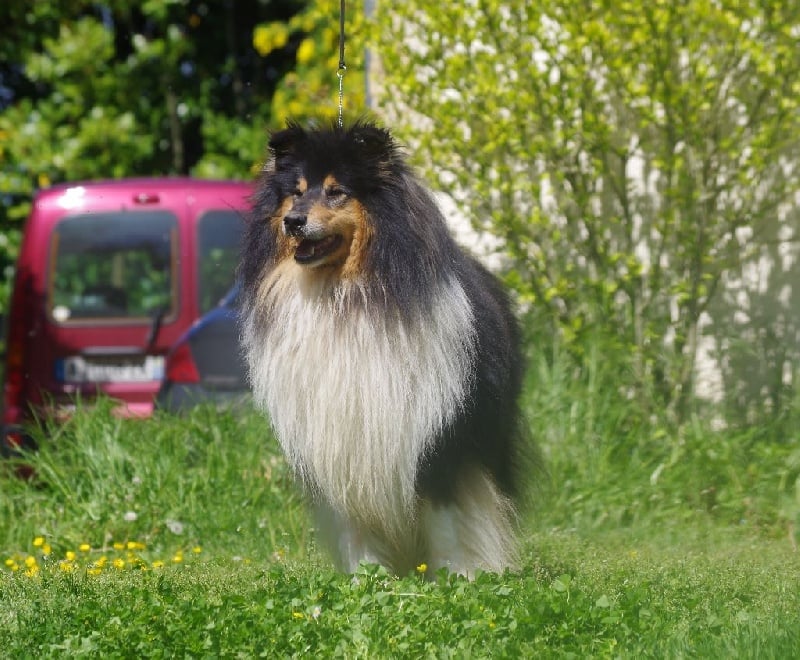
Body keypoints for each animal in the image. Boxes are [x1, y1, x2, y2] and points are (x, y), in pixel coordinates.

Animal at [239, 121, 526, 578]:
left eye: (337, 191)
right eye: (296, 191)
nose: (292, 222)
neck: (344, 296)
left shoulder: (435, 436)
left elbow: (444, 515)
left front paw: (453, 578)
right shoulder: (341, 438)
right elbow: (355, 523)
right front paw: (366, 578)